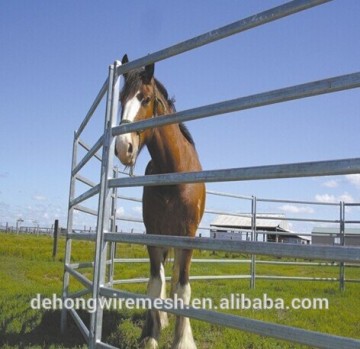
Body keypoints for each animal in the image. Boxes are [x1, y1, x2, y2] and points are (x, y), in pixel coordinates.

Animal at [115, 53, 205, 346]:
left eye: (144, 98)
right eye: (121, 100)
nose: (123, 147)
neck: (173, 172)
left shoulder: (186, 238)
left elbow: (183, 288)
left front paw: (183, 340)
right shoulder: (153, 235)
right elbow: (155, 285)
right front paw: (151, 336)